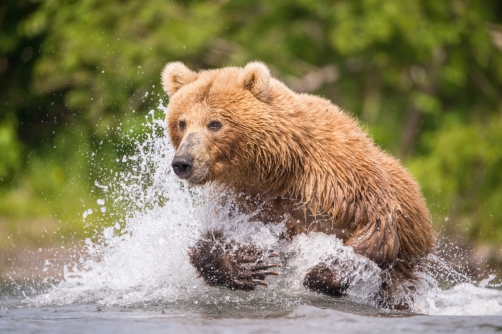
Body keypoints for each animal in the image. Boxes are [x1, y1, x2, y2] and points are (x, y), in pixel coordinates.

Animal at [162, 61, 436, 310]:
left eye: (215, 123)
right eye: (182, 122)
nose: (182, 162)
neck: (278, 168)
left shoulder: (338, 177)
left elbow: (376, 225)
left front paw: (321, 274)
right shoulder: (245, 199)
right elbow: (213, 238)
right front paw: (248, 264)